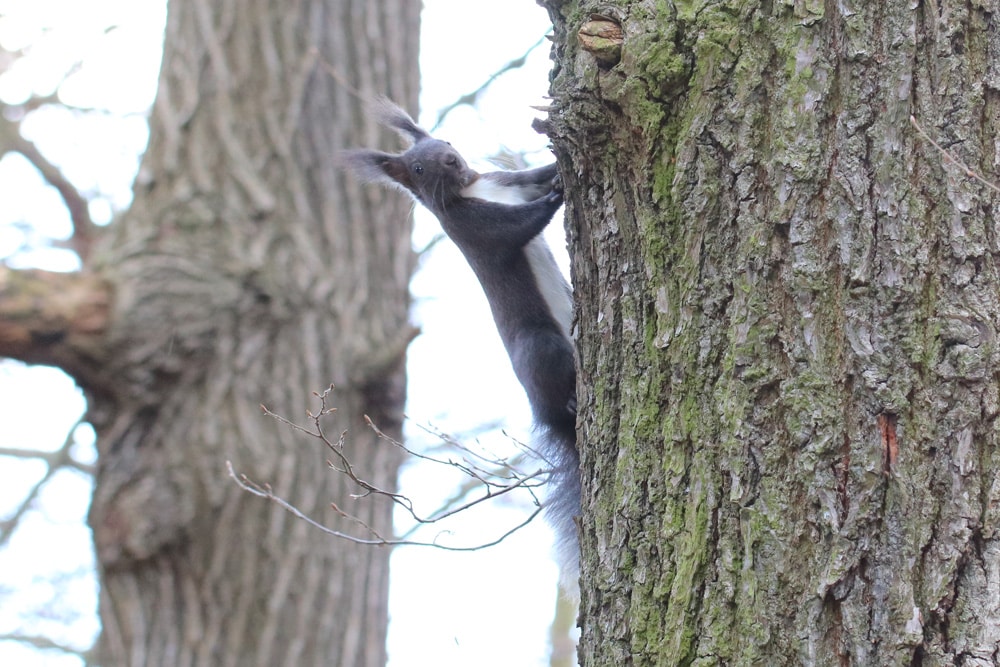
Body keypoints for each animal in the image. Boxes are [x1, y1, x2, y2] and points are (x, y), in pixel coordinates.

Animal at [344, 102, 580, 596]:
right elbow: (519, 227)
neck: (472, 187)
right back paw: (567, 401)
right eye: (417, 167)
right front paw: (558, 194)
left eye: (446, 142)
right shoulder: (475, 228)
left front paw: (556, 160)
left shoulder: (508, 182)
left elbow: (534, 175)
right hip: (540, 346)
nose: (451, 160)